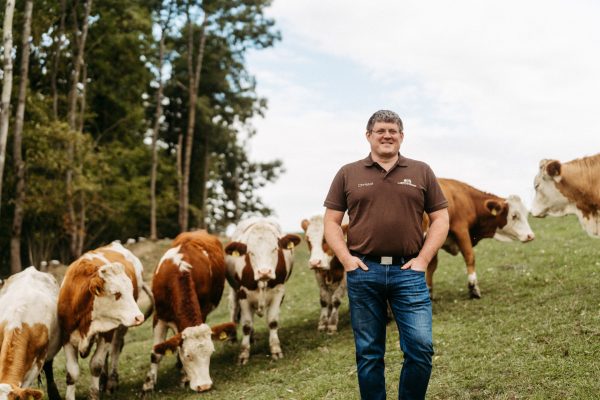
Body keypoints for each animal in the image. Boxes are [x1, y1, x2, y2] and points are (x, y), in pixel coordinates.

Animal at [57, 241, 149, 400]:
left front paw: (94, 394)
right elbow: (72, 373)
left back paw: (111, 382)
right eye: (116, 293)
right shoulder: (66, 336)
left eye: (131, 291)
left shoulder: (107, 333)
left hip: (120, 327)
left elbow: (96, 365)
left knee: (115, 348)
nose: (139, 317)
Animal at [142, 230, 237, 396]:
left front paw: (184, 377)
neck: (179, 272)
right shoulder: (159, 316)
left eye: (211, 352)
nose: (204, 386)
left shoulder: (203, 311)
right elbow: (156, 353)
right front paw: (148, 385)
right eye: (188, 355)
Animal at [224, 217, 302, 364]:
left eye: (275, 249)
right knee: (233, 310)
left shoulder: (279, 291)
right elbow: (246, 325)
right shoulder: (243, 293)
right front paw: (243, 354)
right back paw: (233, 339)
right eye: (250, 252)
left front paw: (276, 350)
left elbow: (272, 321)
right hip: (234, 291)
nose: (264, 272)